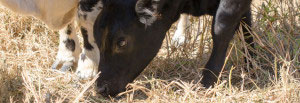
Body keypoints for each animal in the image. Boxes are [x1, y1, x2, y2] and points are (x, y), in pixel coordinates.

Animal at [94, 0, 253, 96]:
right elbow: (246, 25)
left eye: (121, 42)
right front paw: (251, 64)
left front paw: (207, 80)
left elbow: (223, 26)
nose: (101, 88)